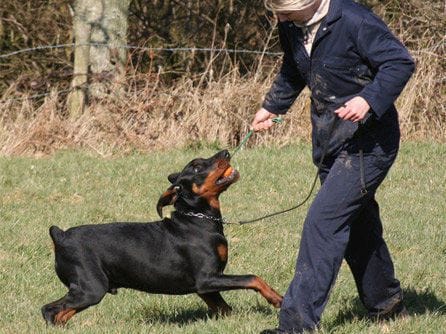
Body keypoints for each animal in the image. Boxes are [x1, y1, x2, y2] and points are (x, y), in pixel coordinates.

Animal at [41, 150, 282, 324]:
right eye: (197, 166)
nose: (226, 152)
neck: (198, 220)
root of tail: (61, 236)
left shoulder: (205, 287)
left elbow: (225, 309)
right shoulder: (207, 279)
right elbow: (252, 277)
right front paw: (276, 299)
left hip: (87, 290)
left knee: (60, 312)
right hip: (91, 288)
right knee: (49, 310)